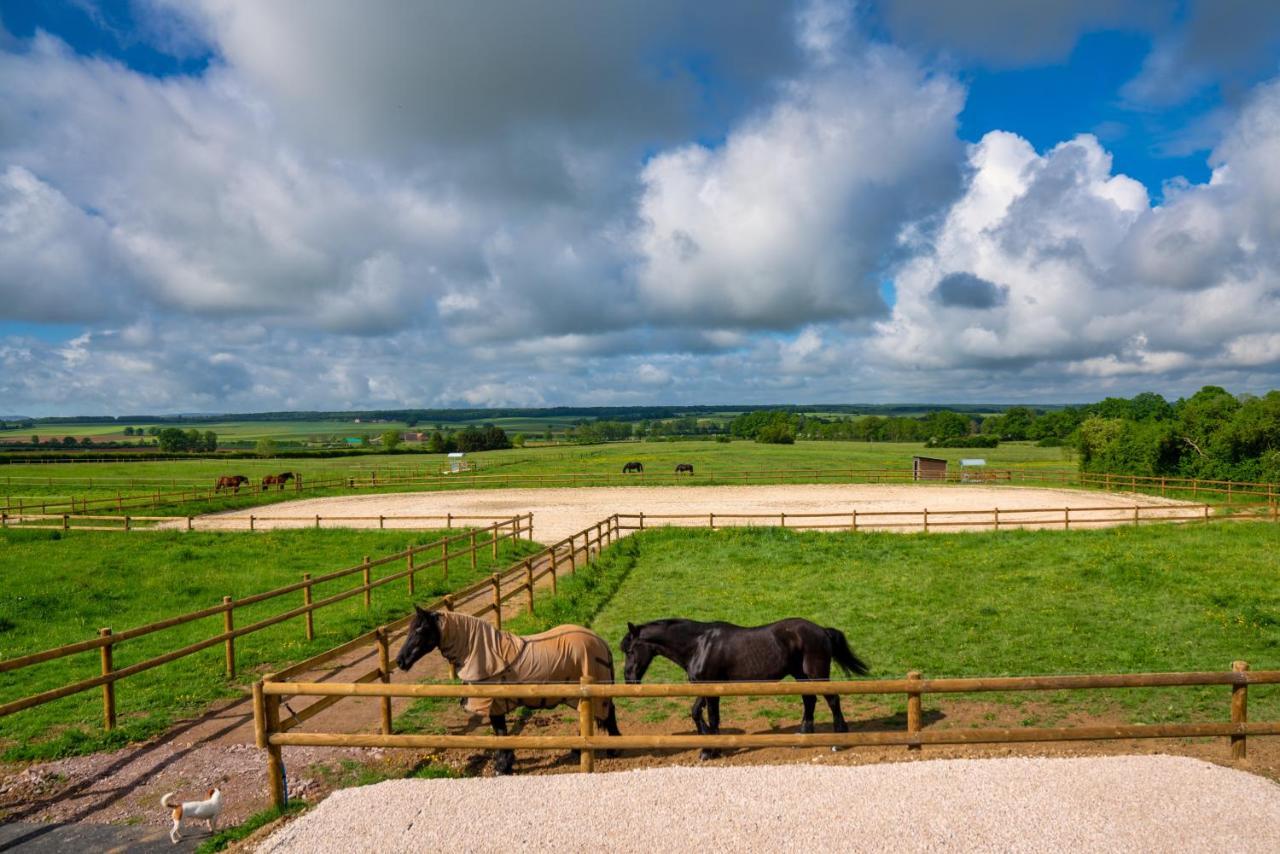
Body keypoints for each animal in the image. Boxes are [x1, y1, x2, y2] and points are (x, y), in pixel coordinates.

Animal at [396, 606, 622, 773]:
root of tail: (600, 642)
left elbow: (501, 733)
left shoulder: (494, 704)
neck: (486, 653)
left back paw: (611, 749)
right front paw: (505, 762)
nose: (400, 661)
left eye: (420, 630)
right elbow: (501, 733)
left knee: (606, 713)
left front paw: (502, 765)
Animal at [619, 622, 870, 763]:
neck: (699, 644)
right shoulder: (704, 687)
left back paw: (838, 741)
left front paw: (710, 750)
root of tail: (822, 631)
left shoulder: (710, 687)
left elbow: (710, 717)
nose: (628, 679)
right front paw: (709, 747)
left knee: (833, 700)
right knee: (810, 700)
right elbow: (699, 714)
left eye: (630, 650)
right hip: (800, 675)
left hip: (816, 673)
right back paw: (801, 737)